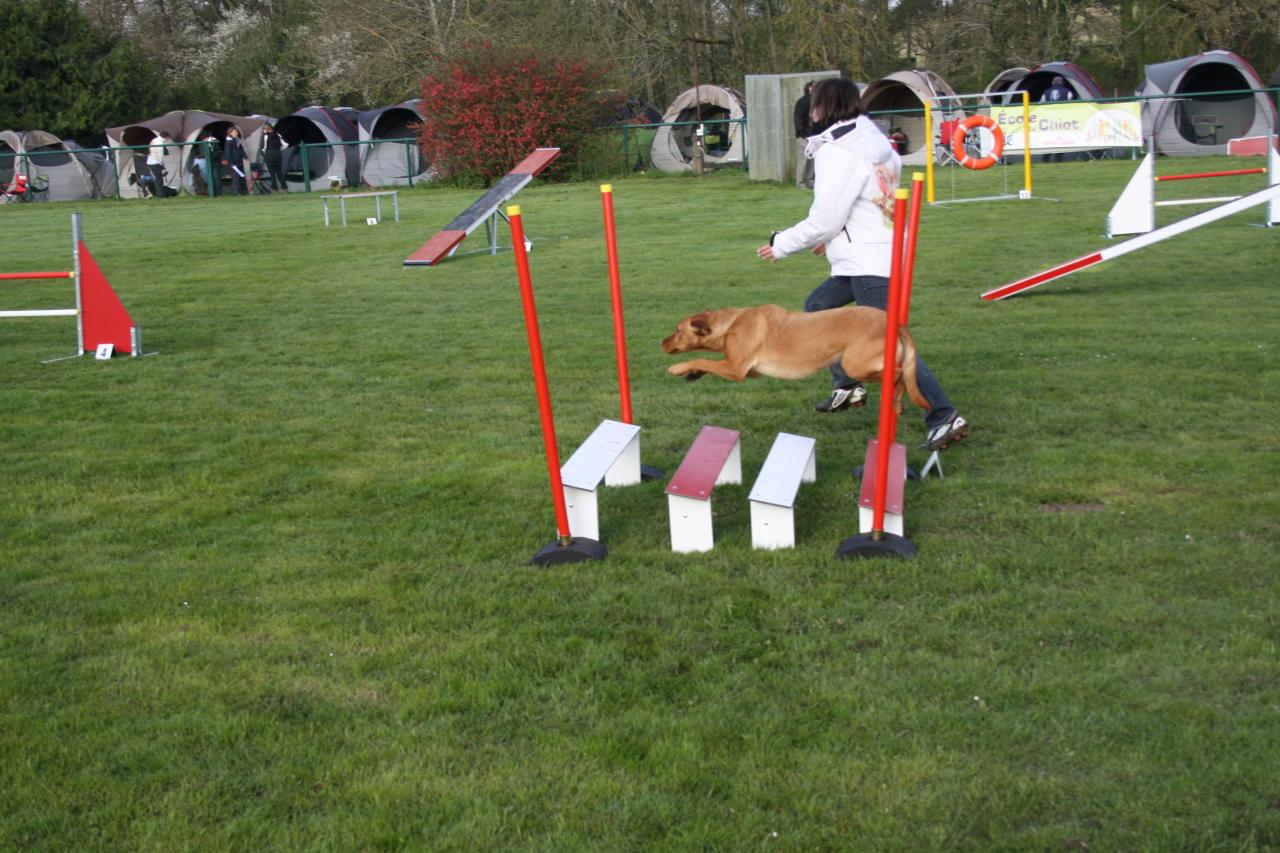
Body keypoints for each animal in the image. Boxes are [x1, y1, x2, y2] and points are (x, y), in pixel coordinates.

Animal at [660, 303, 931, 412]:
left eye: (677, 330)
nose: (661, 342)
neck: (731, 323)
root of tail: (894, 322)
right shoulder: (750, 371)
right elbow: (705, 363)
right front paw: (692, 374)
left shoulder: (737, 369)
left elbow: (701, 359)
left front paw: (678, 368)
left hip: (854, 364)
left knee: (899, 374)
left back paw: (895, 399)